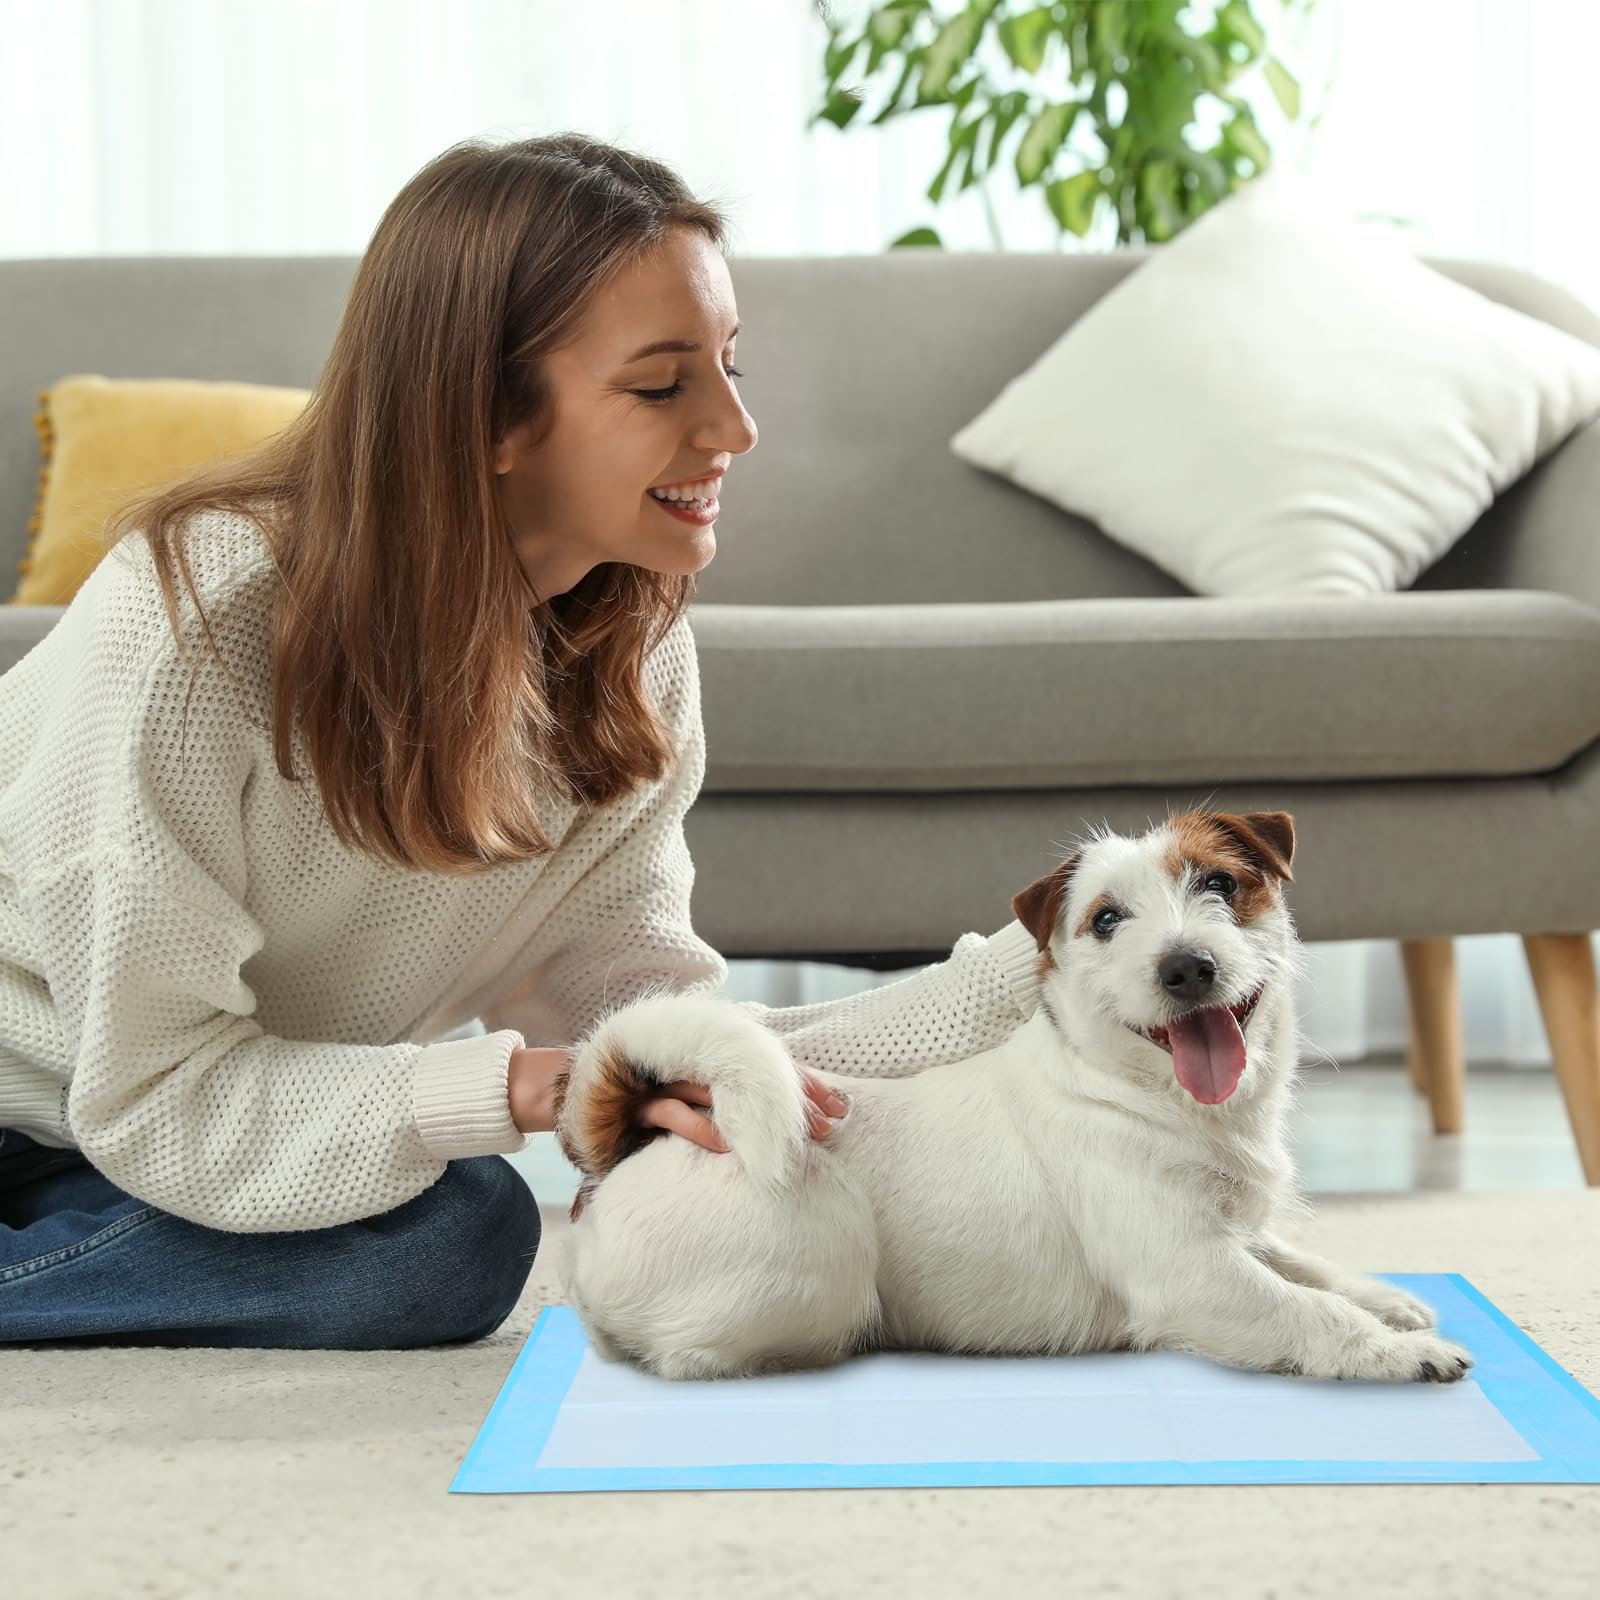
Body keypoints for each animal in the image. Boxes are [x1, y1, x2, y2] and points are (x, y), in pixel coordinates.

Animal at [553, 812, 1472, 1388]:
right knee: (680, 1355)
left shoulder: (1232, 1231)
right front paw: (1397, 1351)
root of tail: (633, 1154)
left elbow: (1300, 1260)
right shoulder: (1192, 1271)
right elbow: (1303, 1308)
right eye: (1107, 920)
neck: (1146, 1095)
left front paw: (1389, 1300)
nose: (1186, 965)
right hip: (821, 1247)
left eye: (1220, 882)